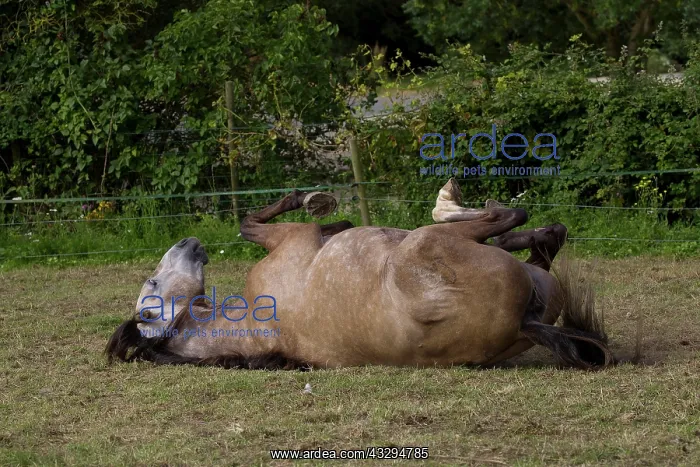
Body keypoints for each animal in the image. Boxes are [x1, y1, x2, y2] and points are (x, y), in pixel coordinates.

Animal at [106, 178, 613, 370]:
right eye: (152, 284)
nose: (187, 243)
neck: (256, 324)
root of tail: (522, 323)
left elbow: (336, 224)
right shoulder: (292, 237)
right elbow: (250, 222)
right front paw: (310, 198)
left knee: (544, 237)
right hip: (426, 243)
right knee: (504, 218)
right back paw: (452, 204)